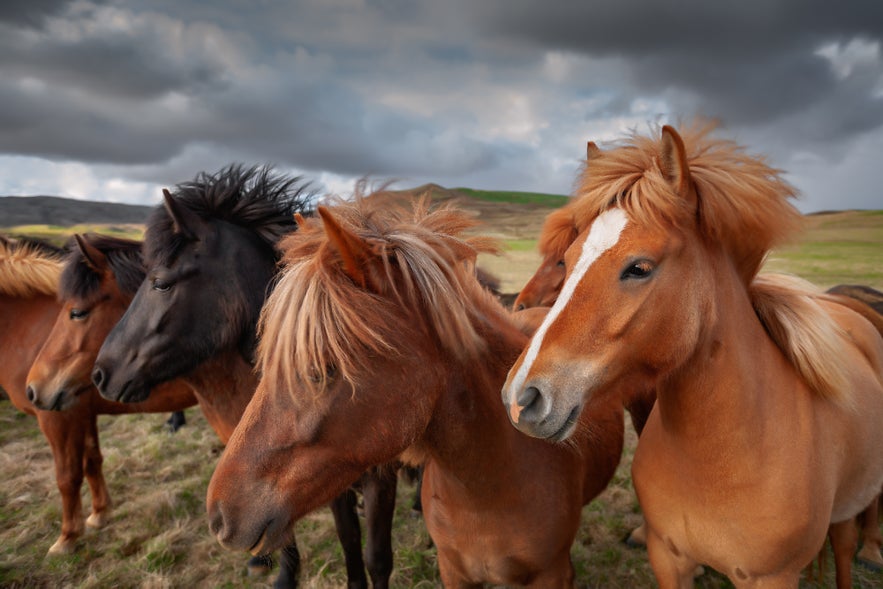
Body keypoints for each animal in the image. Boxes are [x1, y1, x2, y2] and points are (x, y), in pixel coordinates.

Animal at [0, 236, 197, 556]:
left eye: (77, 313)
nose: (34, 390)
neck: (25, 331)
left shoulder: (58, 419)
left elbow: (67, 476)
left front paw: (67, 537)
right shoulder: (81, 411)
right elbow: (92, 460)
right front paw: (100, 513)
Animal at [90, 164, 398, 588]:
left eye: (161, 283)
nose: (102, 373)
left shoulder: (382, 477)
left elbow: (377, 557)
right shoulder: (327, 475)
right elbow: (349, 542)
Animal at [501, 122, 883, 588]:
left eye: (640, 268)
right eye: (569, 259)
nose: (521, 398)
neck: (721, 462)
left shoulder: (772, 577)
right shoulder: (668, 559)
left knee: (844, 546)